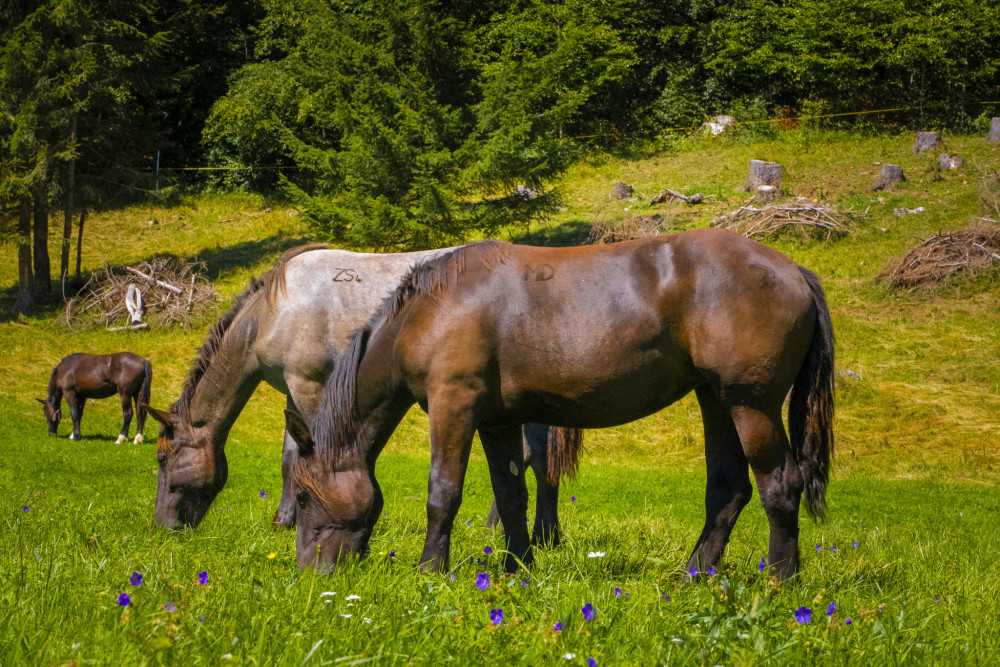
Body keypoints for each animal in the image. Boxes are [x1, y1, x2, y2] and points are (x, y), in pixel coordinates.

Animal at [288, 228, 836, 580]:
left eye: (303, 497)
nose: (309, 575)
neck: (431, 310)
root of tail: (794, 271)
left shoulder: (454, 408)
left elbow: (442, 493)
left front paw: (430, 572)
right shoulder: (498, 422)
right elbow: (511, 496)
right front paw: (517, 569)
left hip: (751, 405)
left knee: (780, 484)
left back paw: (781, 581)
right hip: (717, 401)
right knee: (727, 490)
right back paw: (693, 576)